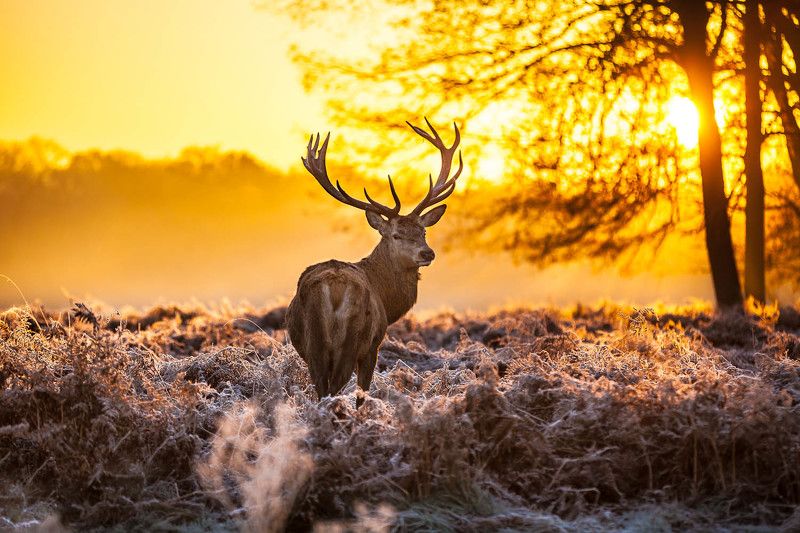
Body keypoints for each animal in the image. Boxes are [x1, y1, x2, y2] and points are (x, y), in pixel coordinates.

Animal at [286, 119, 463, 406]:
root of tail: (333, 289)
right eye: (396, 234)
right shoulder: (374, 345)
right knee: (336, 388)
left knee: (322, 389)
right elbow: (363, 392)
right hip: (353, 339)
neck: (387, 300)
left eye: (423, 232)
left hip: (315, 345)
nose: (427, 253)